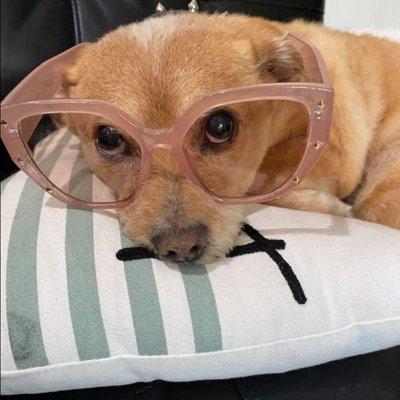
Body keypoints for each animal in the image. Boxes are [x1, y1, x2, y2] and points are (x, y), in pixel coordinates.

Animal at [60, 11, 400, 262]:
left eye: (220, 126)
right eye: (109, 138)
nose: (180, 248)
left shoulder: (339, 151)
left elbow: (271, 174)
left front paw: (333, 205)